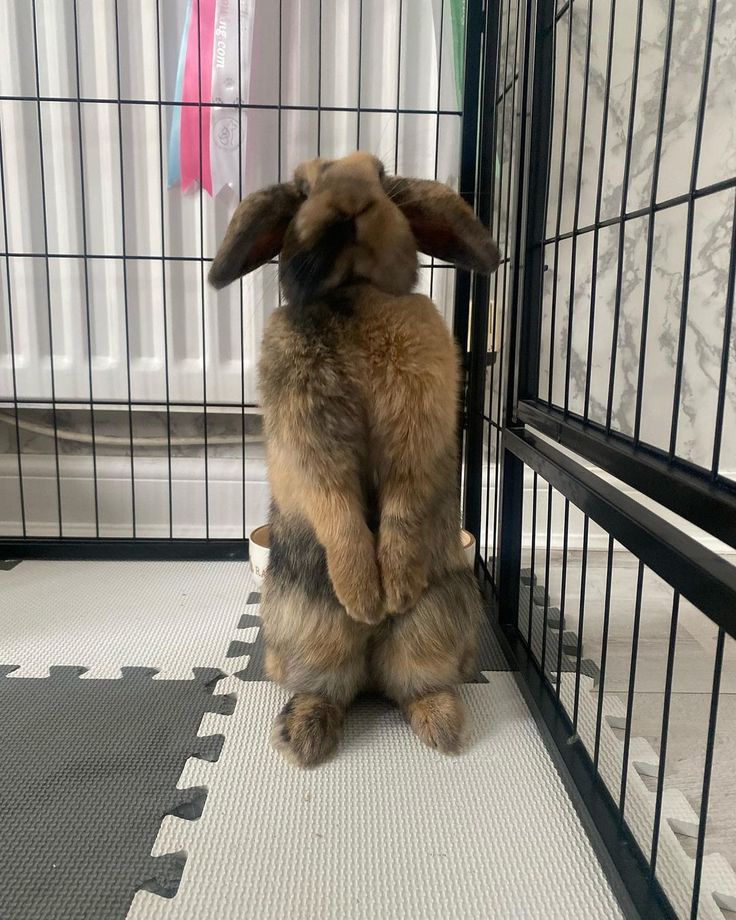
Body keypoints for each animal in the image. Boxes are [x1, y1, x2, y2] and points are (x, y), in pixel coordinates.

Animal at [207, 153, 500, 768]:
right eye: (303, 187)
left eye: (381, 174)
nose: (350, 204)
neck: (357, 295)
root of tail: (368, 672)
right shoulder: (313, 448)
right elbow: (337, 507)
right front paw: (366, 594)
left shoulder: (415, 437)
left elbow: (403, 504)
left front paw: (394, 587)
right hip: (312, 627)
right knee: (326, 687)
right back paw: (305, 735)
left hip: (432, 625)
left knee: (415, 684)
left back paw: (442, 726)